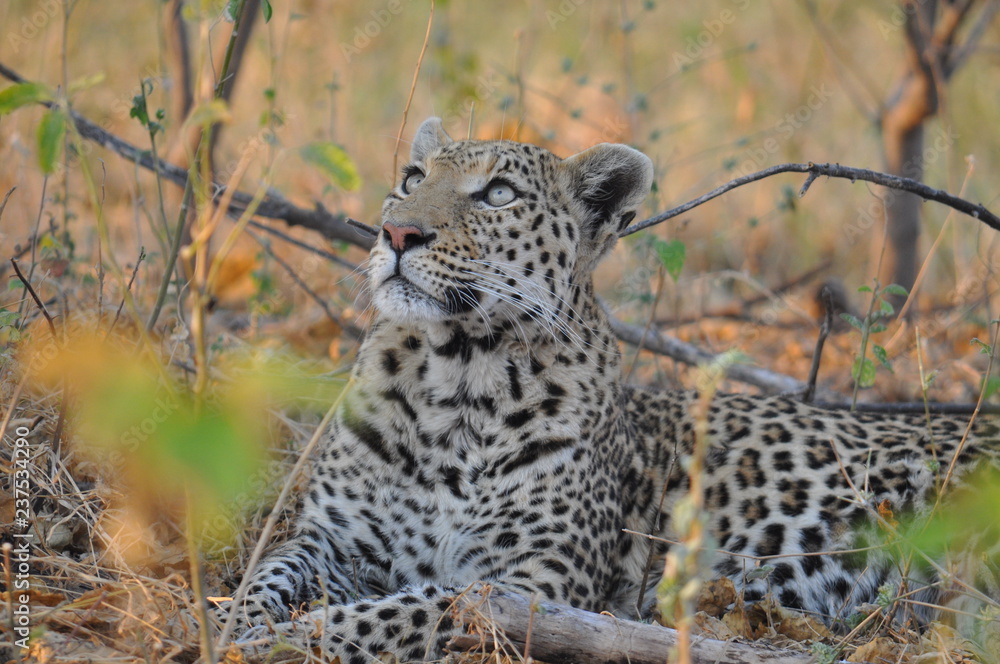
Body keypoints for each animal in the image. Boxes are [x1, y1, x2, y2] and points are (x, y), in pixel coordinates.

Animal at [229, 117, 1000, 663]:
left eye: (499, 194)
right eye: (411, 177)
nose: (397, 231)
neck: (454, 382)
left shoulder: (527, 585)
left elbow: (404, 611)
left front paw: (287, 641)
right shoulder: (333, 540)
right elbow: (268, 573)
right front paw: (227, 620)